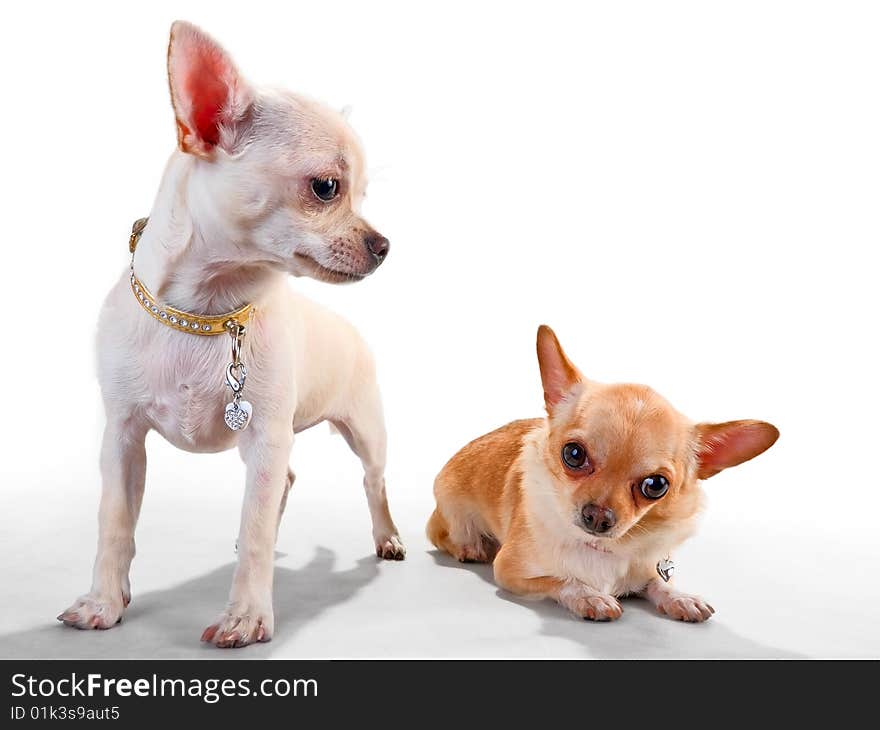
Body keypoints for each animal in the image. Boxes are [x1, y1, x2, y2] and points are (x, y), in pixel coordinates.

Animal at [60, 21, 404, 648]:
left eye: (363, 195)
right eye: (327, 188)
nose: (384, 244)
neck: (208, 311)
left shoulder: (265, 438)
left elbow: (261, 529)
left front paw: (246, 616)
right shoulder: (122, 440)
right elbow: (114, 524)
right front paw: (104, 602)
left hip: (366, 431)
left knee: (374, 482)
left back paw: (386, 536)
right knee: (284, 485)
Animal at [426, 324, 776, 620]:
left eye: (656, 485)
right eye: (573, 455)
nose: (597, 516)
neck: (604, 549)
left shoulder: (647, 568)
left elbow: (657, 583)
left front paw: (680, 597)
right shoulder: (511, 572)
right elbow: (563, 579)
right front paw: (590, 596)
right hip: (455, 516)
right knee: (440, 534)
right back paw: (469, 547)